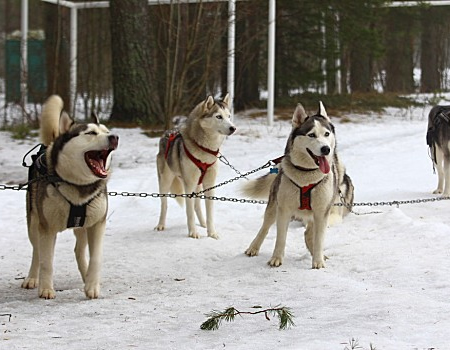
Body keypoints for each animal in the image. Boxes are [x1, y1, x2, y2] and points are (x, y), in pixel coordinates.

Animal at [22, 95, 118, 298]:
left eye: (107, 131)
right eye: (90, 133)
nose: (114, 137)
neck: (78, 185)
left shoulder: (97, 224)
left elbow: (96, 257)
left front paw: (92, 285)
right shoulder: (46, 228)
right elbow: (46, 261)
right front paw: (46, 289)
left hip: (83, 226)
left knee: (79, 250)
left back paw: (85, 275)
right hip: (33, 223)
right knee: (36, 251)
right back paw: (32, 278)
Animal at [156, 94, 236, 239]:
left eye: (229, 116)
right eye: (218, 116)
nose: (233, 128)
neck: (205, 149)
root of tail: (166, 133)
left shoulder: (209, 184)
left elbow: (209, 213)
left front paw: (211, 233)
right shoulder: (189, 185)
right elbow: (189, 212)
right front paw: (193, 232)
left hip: (197, 185)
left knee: (196, 206)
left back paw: (203, 223)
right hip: (165, 182)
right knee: (164, 205)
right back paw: (161, 225)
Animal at [244, 101, 354, 268]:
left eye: (326, 134)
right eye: (311, 135)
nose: (326, 149)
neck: (307, 175)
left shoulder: (322, 212)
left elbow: (319, 239)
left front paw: (318, 261)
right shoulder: (284, 210)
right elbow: (280, 238)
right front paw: (276, 258)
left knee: (309, 233)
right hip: (273, 206)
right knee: (265, 227)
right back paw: (253, 247)